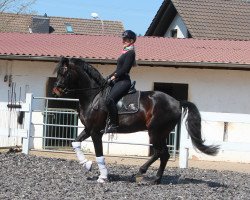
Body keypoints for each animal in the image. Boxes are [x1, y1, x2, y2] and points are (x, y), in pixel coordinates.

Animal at [52, 56, 219, 184]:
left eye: (64, 72)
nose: (55, 91)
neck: (94, 97)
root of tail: (177, 102)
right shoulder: (88, 129)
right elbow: (75, 143)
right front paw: (86, 164)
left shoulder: (95, 132)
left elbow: (99, 154)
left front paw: (103, 177)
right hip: (162, 133)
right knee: (163, 154)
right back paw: (155, 179)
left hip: (155, 132)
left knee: (160, 152)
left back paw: (143, 172)